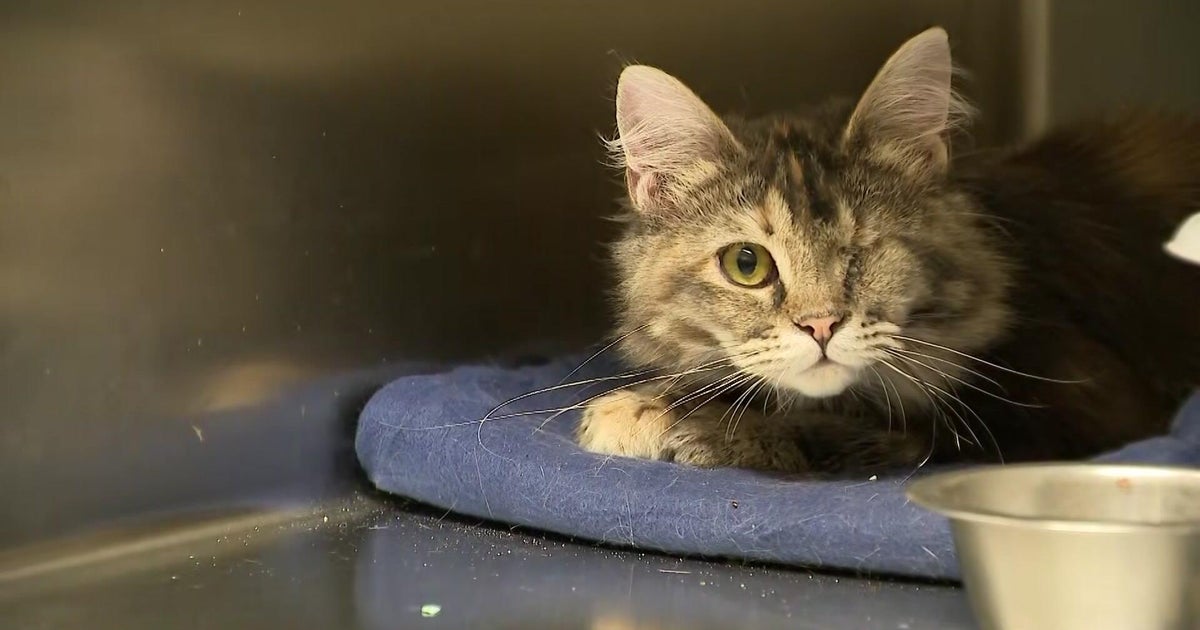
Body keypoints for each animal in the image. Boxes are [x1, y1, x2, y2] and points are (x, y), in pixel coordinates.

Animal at [574, 27, 1200, 474]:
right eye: (745, 265)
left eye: (864, 251)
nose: (821, 326)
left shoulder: (1078, 404)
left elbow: (874, 425)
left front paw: (666, 416)